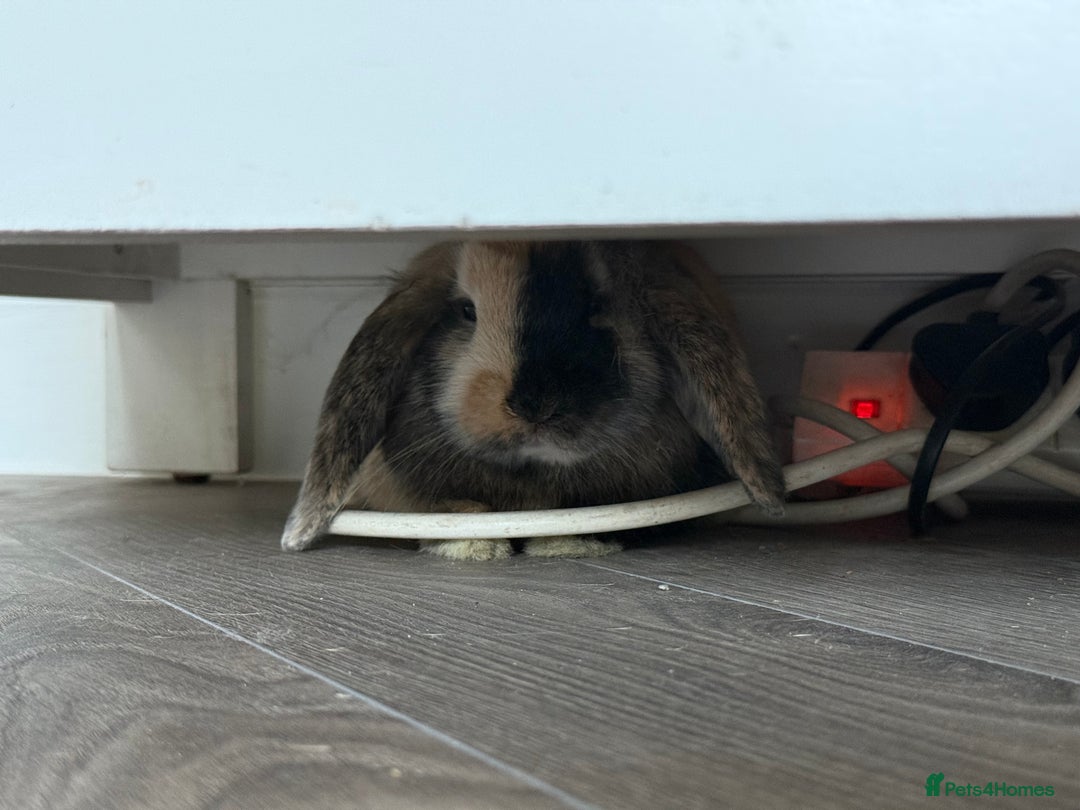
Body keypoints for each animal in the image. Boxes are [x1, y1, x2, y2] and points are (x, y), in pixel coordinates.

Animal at [281, 240, 785, 560]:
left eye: (596, 306)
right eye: (466, 311)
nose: (535, 405)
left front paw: (568, 542)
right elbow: (454, 511)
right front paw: (473, 545)